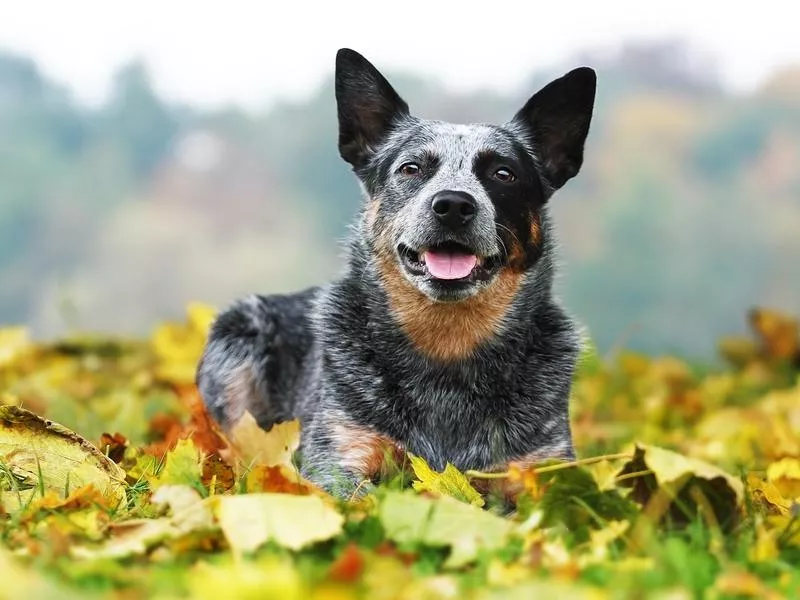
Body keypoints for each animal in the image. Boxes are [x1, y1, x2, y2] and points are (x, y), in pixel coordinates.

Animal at [197, 48, 596, 496]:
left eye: (503, 173)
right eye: (411, 167)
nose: (453, 204)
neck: (448, 349)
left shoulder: (543, 468)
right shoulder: (339, 458)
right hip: (237, 338)